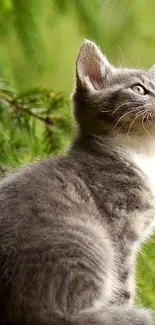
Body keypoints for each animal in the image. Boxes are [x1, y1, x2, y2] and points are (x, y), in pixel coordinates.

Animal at [0, 41, 155, 324]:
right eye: (139, 89)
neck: (140, 154)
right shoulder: (121, 233)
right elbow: (124, 284)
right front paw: (126, 307)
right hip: (89, 242)